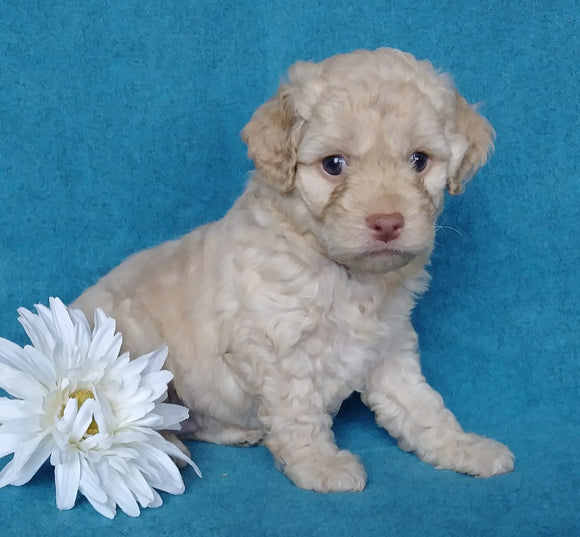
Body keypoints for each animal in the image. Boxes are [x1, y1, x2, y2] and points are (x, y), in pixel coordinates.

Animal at [72, 47, 512, 490]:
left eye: (419, 161)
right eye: (333, 164)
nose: (387, 222)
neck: (345, 273)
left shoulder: (389, 349)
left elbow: (421, 407)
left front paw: (463, 447)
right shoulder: (274, 348)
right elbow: (298, 411)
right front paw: (320, 464)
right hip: (136, 348)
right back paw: (166, 451)